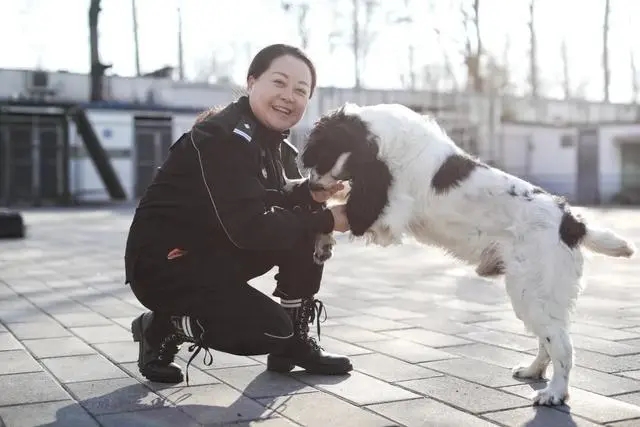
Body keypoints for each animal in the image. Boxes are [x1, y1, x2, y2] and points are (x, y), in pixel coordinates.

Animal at [300, 102, 636, 406]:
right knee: (549, 340)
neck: (381, 139)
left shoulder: (384, 214)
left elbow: (338, 210)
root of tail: (571, 222)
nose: (311, 184)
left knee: (562, 345)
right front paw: (321, 242)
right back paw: (533, 371)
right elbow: (331, 209)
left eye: (323, 152)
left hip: (531, 292)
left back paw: (554, 393)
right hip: (537, 297)